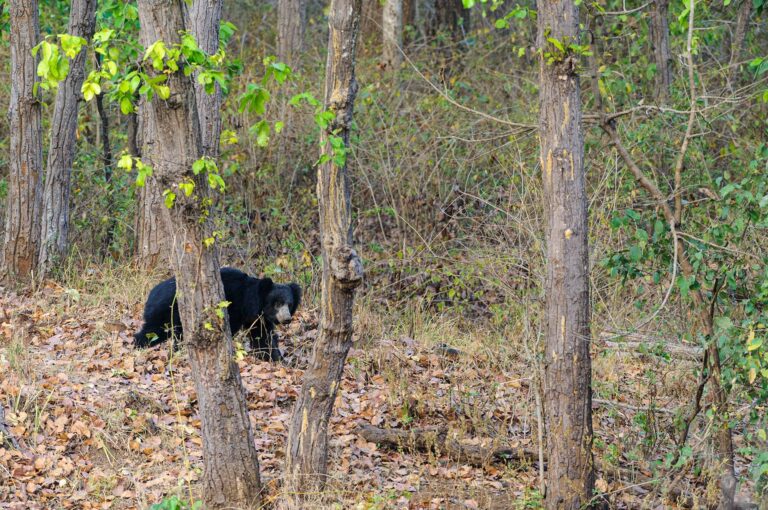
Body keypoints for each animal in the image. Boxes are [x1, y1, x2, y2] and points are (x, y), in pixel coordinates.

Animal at [134, 266, 302, 362]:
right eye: (277, 303)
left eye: (289, 304)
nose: (287, 319)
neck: (250, 302)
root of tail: (151, 294)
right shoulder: (233, 307)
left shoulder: (257, 318)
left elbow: (263, 337)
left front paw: (275, 358)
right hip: (166, 311)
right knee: (153, 330)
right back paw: (138, 344)